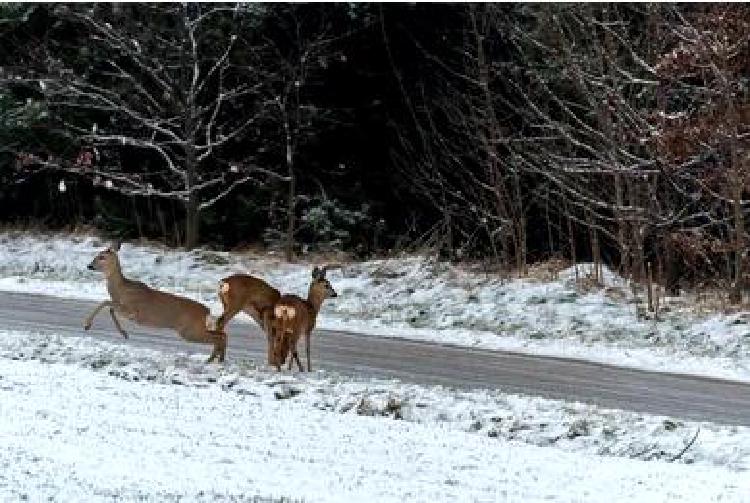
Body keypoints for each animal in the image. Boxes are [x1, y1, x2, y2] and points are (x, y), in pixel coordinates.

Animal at [83, 243, 228, 364]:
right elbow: (110, 308)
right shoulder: (125, 309)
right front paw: (124, 333)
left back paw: (213, 360)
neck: (120, 290)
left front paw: (87, 325)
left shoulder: (133, 311)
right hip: (195, 329)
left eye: (102, 257)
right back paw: (216, 359)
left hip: (189, 331)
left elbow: (105, 302)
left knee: (219, 337)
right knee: (222, 335)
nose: (89, 266)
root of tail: (207, 311)